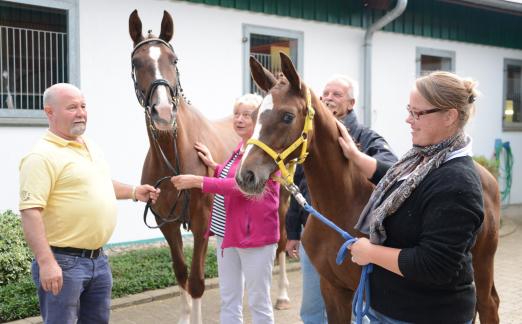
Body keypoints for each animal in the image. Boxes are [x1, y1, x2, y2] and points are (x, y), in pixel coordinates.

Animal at [126, 11, 288, 322]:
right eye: (136, 62)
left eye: (173, 59)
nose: (163, 112)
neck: (175, 155)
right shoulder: (168, 224)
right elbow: (181, 273)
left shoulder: (202, 220)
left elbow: (197, 282)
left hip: (283, 203)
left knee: (283, 242)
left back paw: (283, 295)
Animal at [236, 52, 500, 322]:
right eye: (255, 115)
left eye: (287, 116)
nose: (246, 175)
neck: (341, 205)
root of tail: (485, 174)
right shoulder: (332, 288)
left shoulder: (361, 294)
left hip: (483, 262)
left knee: (488, 304)